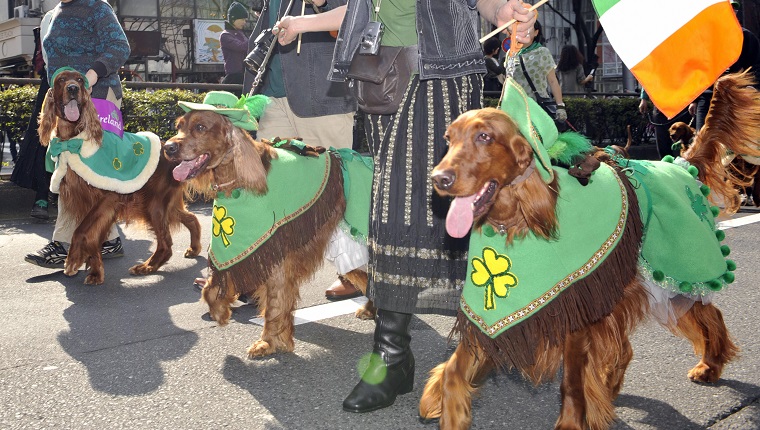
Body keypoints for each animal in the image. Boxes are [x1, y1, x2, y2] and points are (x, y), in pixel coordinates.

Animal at [38, 69, 202, 286]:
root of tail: (171, 150)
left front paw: (73, 260)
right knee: (191, 218)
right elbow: (91, 237)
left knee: (166, 243)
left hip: (153, 204)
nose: (72, 88)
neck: (73, 140)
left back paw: (147, 267)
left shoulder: (107, 199)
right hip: (162, 203)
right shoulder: (82, 200)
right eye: (61, 80)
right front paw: (95, 271)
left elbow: (81, 231)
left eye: (80, 80)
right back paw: (194, 248)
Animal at [165, 109, 372, 358]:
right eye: (179, 126)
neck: (240, 178)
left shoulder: (275, 256)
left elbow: (274, 305)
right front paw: (221, 312)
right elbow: (211, 288)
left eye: (200, 127)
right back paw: (371, 310)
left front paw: (269, 342)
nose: (168, 147)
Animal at [422, 101, 744, 426]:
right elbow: (453, 371)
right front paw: (444, 406)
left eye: (485, 137)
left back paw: (710, 365)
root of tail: (680, 165)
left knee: (711, 314)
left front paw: (572, 421)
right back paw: (610, 390)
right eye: (449, 139)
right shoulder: (493, 315)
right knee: (625, 348)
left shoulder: (574, 309)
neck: (516, 221)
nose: (439, 179)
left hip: (677, 274)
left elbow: (572, 383)